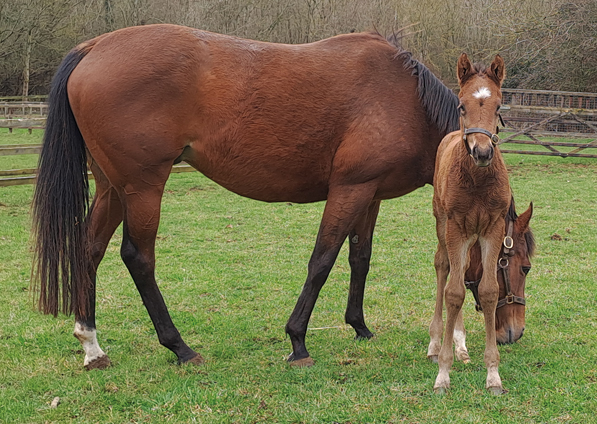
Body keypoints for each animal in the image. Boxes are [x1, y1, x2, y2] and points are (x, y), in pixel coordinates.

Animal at [31, 24, 460, 370]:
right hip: (142, 189)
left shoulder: (370, 195)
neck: (405, 98)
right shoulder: (350, 189)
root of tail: (95, 47)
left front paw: (360, 327)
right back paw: (180, 347)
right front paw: (297, 341)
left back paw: (92, 345)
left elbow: (360, 258)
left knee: (89, 249)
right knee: (138, 258)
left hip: (112, 189)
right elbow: (322, 261)